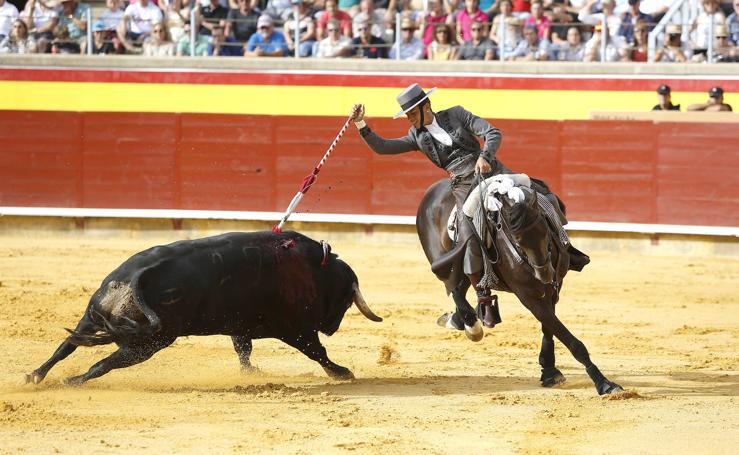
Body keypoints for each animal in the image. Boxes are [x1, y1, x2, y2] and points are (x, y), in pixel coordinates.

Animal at [24, 232, 382, 384]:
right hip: (151, 342)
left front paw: (251, 373)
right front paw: (341, 372)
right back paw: (73, 381)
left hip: (92, 317)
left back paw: (36, 375)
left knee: (66, 345)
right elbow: (316, 351)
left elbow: (243, 349)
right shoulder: (294, 328)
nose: (332, 327)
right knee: (103, 363)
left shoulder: (241, 323)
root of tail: (136, 276)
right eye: (346, 301)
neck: (314, 268)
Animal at [416, 178, 624, 396]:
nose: (544, 273)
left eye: (545, 230)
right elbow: (566, 335)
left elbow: (549, 327)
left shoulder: (553, 289)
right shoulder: (528, 296)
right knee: (454, 287)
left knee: (463, 287)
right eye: (517, 239)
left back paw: (462, 318)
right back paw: (473, 325)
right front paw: (604, 383)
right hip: (441, 257)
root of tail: (435, 188)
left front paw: (549, 371)